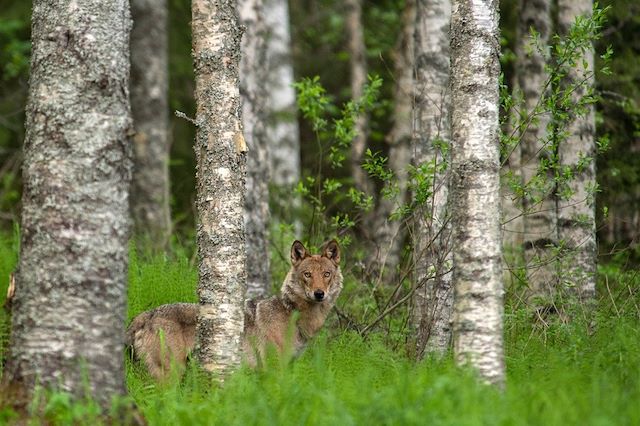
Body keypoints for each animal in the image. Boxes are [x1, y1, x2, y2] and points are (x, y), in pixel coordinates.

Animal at [127, 240, 342, 380]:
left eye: (326, 274)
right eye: (307, 274)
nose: (319, 293)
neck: (293, 314)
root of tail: (144, 315)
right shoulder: (274, 368)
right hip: (171, 373)